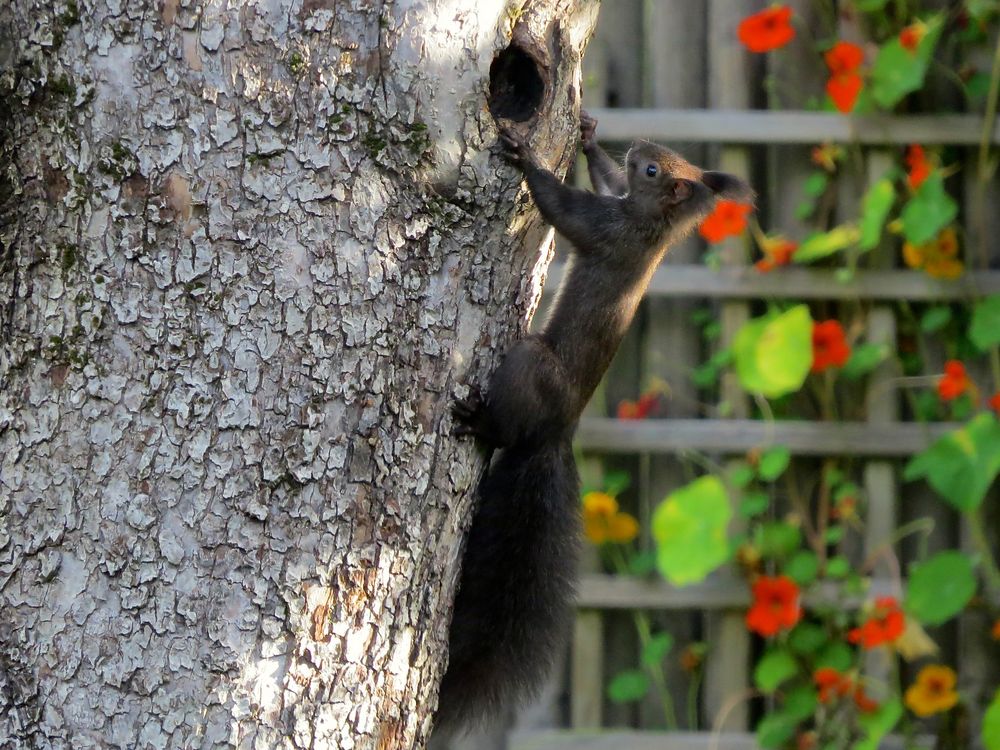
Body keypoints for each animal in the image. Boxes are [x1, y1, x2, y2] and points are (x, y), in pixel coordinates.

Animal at [434, 111, 752, 736]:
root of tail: (559, 431)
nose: (637, 146)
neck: (652, 226)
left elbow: (560, 206)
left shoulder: (604, 227)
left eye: (653, 170)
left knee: (507, 428)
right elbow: (604, 181)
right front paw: (586, 136)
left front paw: (526, 153)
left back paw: (480, 422)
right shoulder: (615, 207)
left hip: (531, 364)